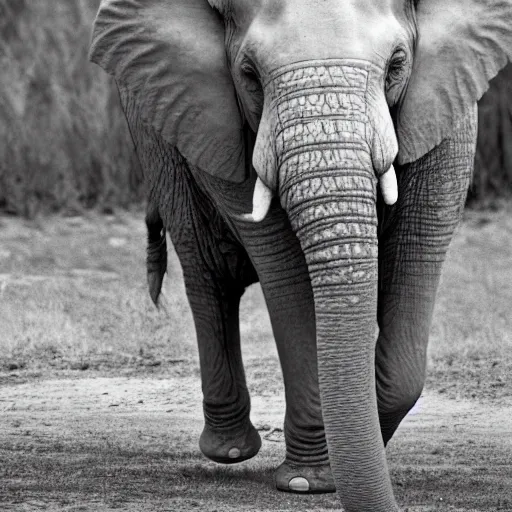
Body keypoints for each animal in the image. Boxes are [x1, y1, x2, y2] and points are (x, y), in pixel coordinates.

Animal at [90, 1, 512, 512]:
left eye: (396, 65)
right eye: (249, 75)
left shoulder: (449, 112)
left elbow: (417, 255)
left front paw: (355, 445)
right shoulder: (214, 112)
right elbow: (287, 275)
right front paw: (307, 481)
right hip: (160, 129)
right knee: (207, 270)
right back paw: (231, 451)